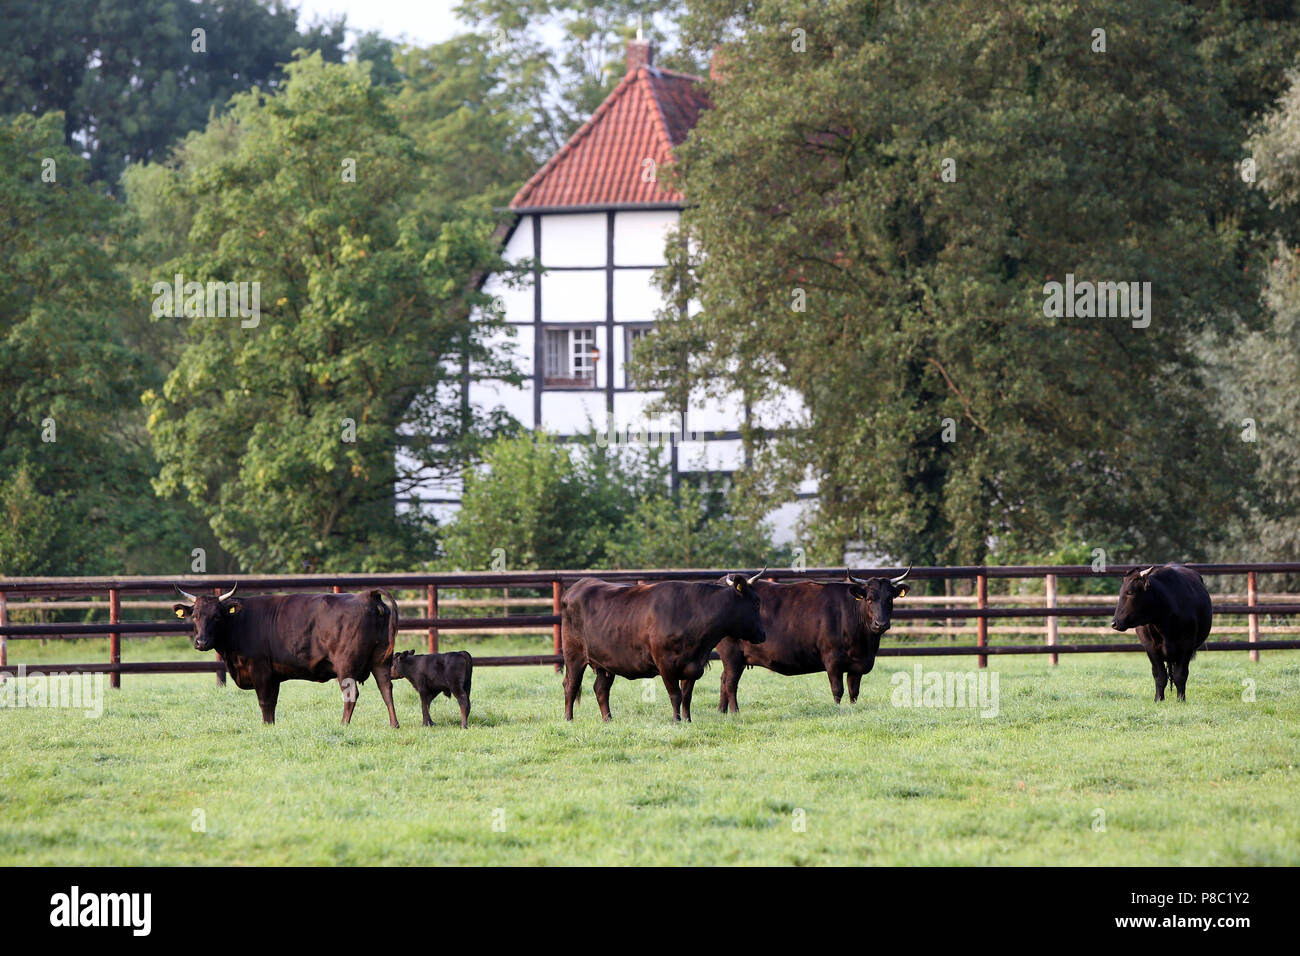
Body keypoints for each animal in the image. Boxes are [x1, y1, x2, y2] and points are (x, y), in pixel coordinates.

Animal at [172, 582, 397, 723]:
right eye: (195, 616)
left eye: (217, 616)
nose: (201, 642)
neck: (240, 621)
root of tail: (367, 595)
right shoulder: (274, 676)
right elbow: (272, 703)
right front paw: (271, 726)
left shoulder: (260, 671)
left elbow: (264, 702)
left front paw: (265, 727)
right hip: (381, 662)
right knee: (386, 689)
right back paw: (394, 725)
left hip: (346, 665)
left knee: (351, 695)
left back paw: (343, 725)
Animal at [681, 567, 915, 712]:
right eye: (869, 599)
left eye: (890, 598)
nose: (880, 624)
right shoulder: (833, 660)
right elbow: (837, 690)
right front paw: (837, 710)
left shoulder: (857, 665)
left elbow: (853, 692)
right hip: (732, 654)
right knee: (730, 683)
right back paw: (735, 712)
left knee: (723, 681)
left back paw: (721, 711)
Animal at [1112, 561, 1211, 702]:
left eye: (1130, 592)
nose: (1114, 623)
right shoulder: (1150, 647)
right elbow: (1159, 675)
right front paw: (1158, 699)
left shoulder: (1187, 646)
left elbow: (1180, 675)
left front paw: (1181, 699)